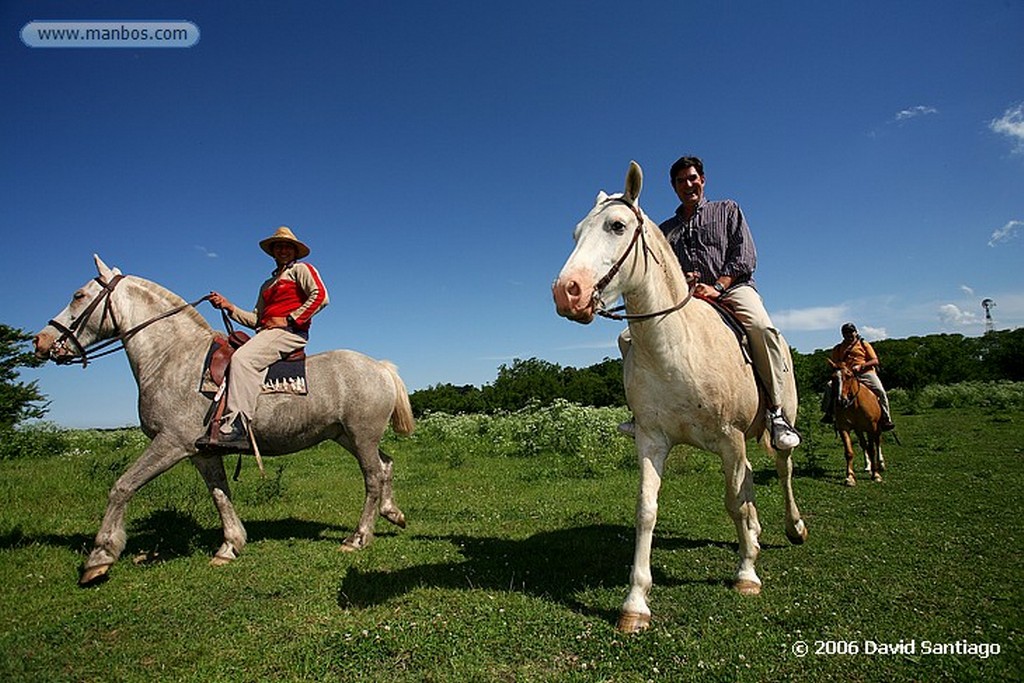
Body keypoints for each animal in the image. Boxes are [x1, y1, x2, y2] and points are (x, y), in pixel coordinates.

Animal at [34, 255, 413, 589]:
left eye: (78, 295)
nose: (41, 341)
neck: (174, 357)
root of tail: (380, 367)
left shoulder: (170, 443)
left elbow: (122, 486)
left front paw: (99, 558)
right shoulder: (202, 452)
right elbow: (220, 494)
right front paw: (230, 545)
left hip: (361, 437)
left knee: (373, 478)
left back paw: (358, 537)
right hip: (346, 437)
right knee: (386, 465)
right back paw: (392, 513)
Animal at [552, 162, 806, 634]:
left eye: (617, 226)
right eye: (576, 233)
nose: (567, 292)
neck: (675, 347)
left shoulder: (729, 438)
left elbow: (734, 501)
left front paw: (747, 574)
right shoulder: (652, 440)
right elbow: (647, 510)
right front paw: (635, 604)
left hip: (775, 427)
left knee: (782, 471)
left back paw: (793, 528)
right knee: (750, 484)